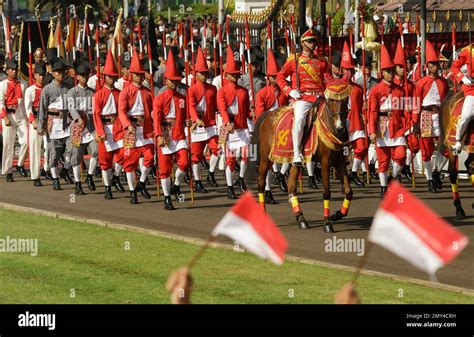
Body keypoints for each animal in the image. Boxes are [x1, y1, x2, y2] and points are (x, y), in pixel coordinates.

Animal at [252, 79, 352, 232]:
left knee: (292, 186)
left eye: (345, 101)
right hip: (265, 159)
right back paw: (263, 215)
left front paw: (338, 214)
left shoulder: (339, 160)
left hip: (293, 161)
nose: (340, 127)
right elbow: (327, 191)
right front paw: (327, 223)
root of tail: (267, 115)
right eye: (330, 101)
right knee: (261, 183)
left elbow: (348, 190)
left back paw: (301, 219)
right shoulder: (325, 161)